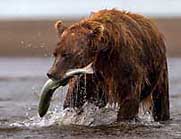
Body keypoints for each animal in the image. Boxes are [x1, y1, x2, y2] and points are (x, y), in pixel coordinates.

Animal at [40, 9, 170, 121]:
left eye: (66, 54)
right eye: (55, 53)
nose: (51, 73)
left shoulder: (125, 65)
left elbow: (129, 98)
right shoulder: (90, 75)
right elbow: (74, 98)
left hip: (159, 72)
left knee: (160, 101)